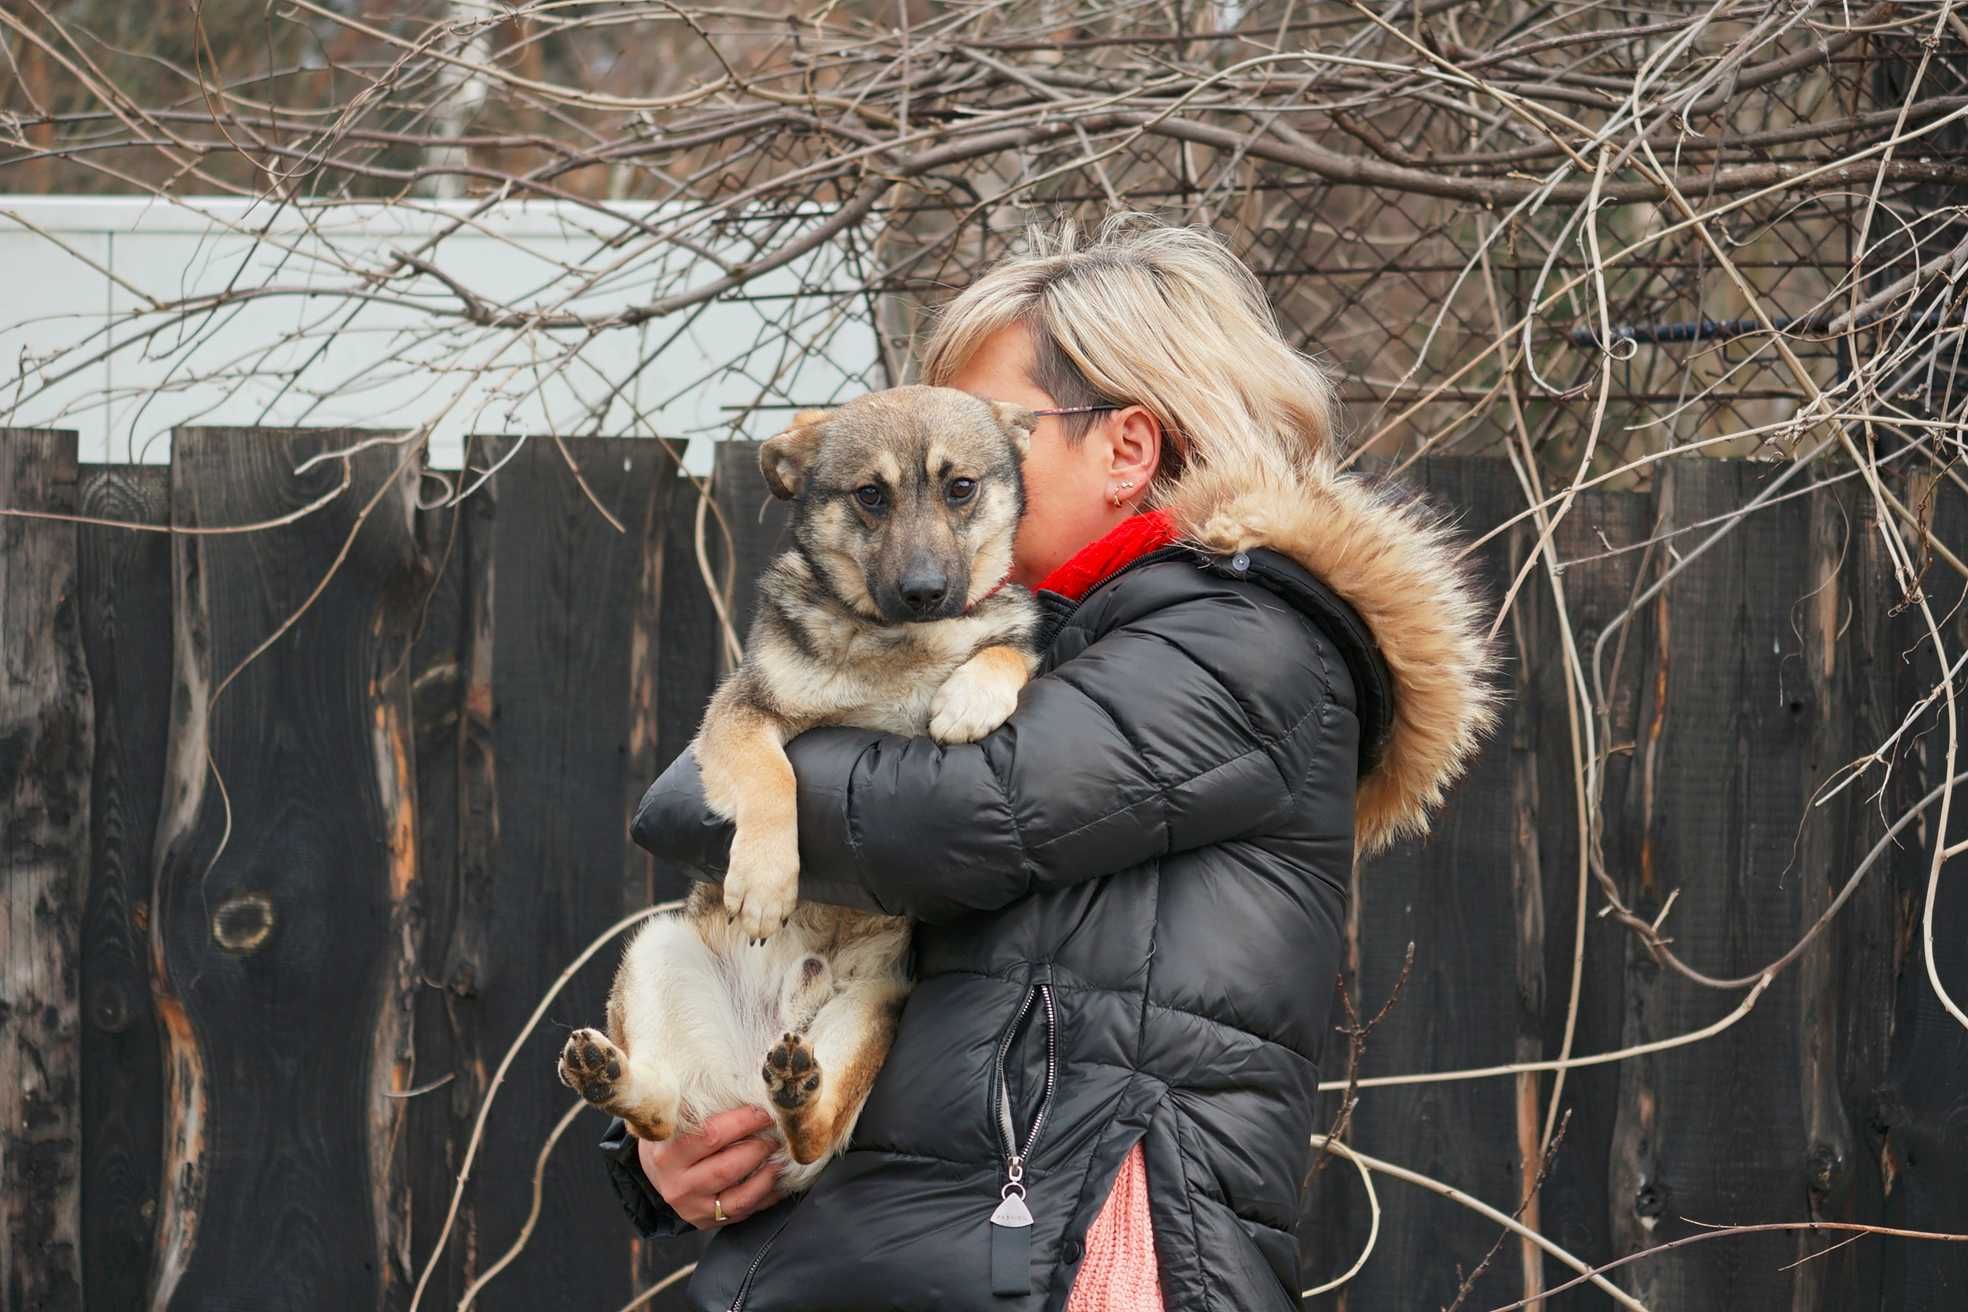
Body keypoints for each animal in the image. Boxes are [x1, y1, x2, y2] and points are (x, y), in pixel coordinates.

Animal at [558, 387, 1046, 1188]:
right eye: (870, 495)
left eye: (961, 487)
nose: (924, 593)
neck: (894, 643)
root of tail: (745, 1086)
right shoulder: (741, 712)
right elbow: (772, 777)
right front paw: (764, 880)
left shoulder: (1007, 639)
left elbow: (1005, 650)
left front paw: (969, 698)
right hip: (658, 951)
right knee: (661, 1113)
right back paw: (616, 1077)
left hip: (872, 1011)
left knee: (812, 1134)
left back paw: (794, 1089)